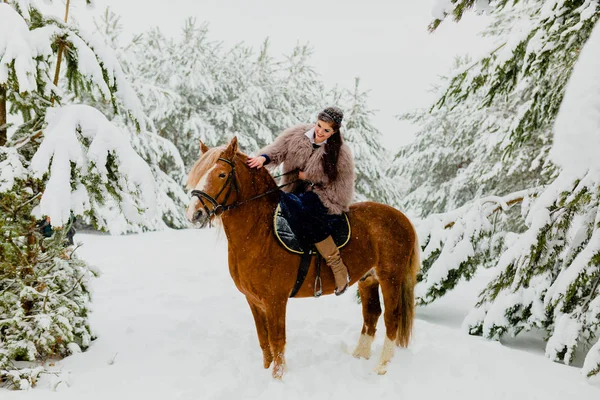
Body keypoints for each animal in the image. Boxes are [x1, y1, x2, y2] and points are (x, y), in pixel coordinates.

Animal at [185, 137, 420, 378]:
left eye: (222, 174)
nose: (194, 214)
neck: (260, 230)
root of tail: (402, 218)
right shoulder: (254, 301)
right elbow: (264, 341)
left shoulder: (275, 300)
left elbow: (277, 341)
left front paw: (278, 378)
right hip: (368, 279)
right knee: (372, 314)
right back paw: (359, 356)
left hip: (390, 277)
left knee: (392, 317)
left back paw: (381, 366)